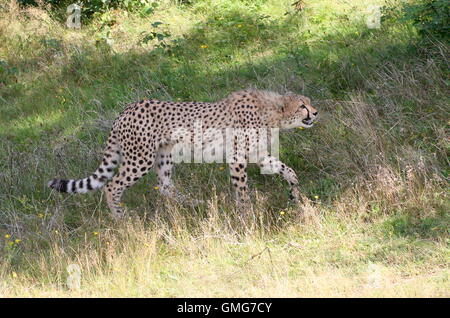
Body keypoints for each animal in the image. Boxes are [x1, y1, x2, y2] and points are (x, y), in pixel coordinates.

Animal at [48, 89, 316, 219]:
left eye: (309, 102)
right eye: (302, 106)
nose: (316, 112)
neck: (270, 113)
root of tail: (126, 110)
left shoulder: (258, 154)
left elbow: (288, 170)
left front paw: (295, 194)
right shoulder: (237, 158)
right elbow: (242, 190)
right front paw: (247, 215)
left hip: (163, 156)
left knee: (165, 186)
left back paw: (198, 204)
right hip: (140, 159)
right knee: (112, 185)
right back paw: (122, 220)